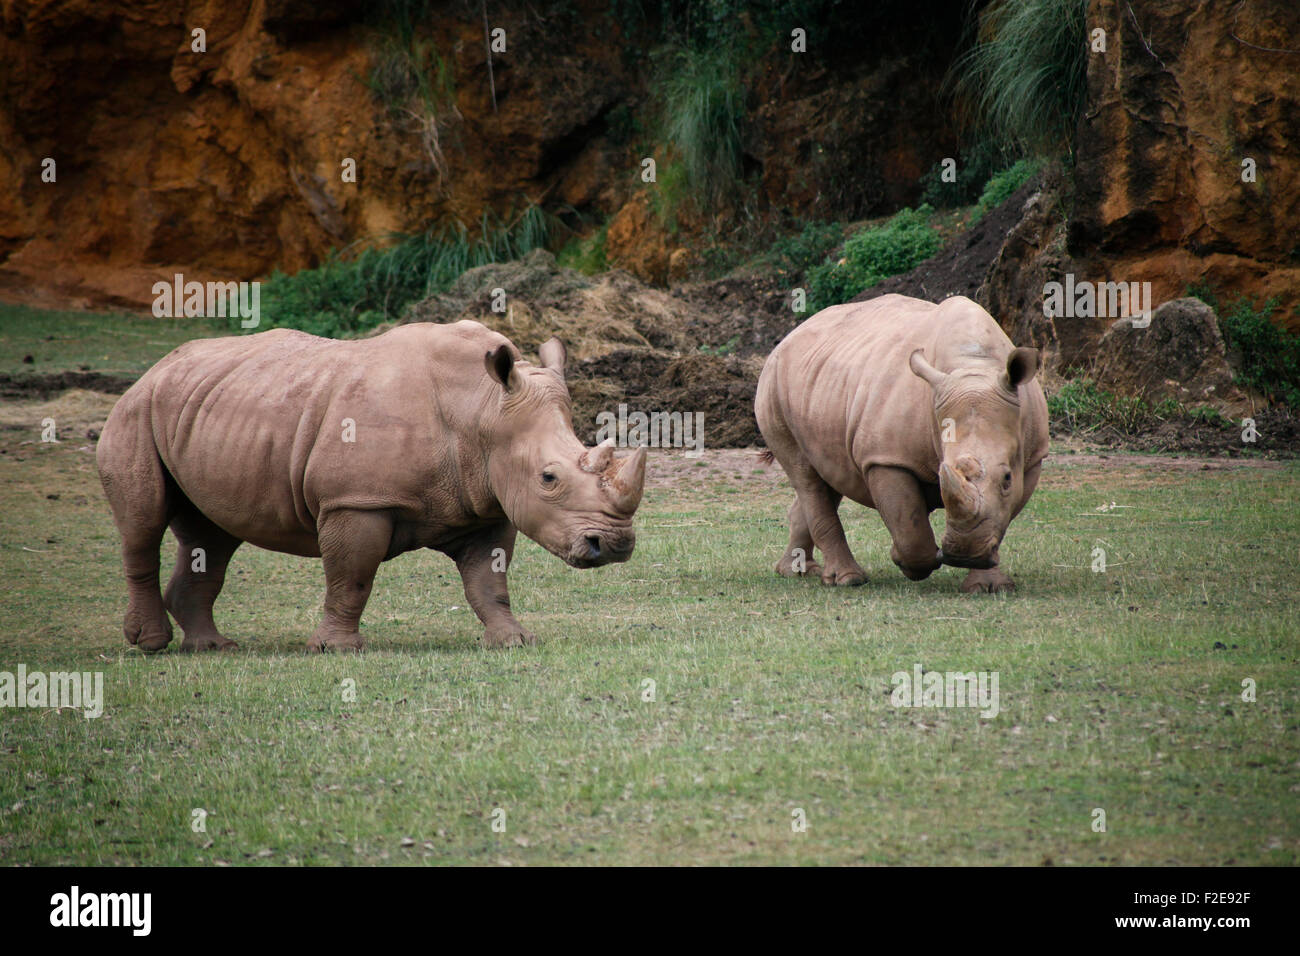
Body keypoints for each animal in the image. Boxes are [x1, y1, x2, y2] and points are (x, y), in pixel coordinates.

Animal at [98, 319, 647, 650]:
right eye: (549, 478)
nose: (615, 546)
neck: (481, 409)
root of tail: (158, 366)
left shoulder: (488, 501)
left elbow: (489, 583)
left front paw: (513, 641)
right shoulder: (355, 502)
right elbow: (352, 577)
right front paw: (337, 650)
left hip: (206, 410)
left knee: (211, 535)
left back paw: (215, 648)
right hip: (136, 410)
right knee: (144, 522)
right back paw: (151, 644)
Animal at [759, 293, 1050, 590]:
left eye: (1007, 478)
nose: (962, 555)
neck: (973, 367)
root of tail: (789, 336)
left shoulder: (1032, 457)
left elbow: (1000, 517)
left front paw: (989, 586)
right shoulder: (886, 457)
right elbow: (909, 527)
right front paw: (906, 562)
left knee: (828, 475)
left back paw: (798, 571)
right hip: (773, 384)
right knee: (805, 476)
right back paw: (847, 579)